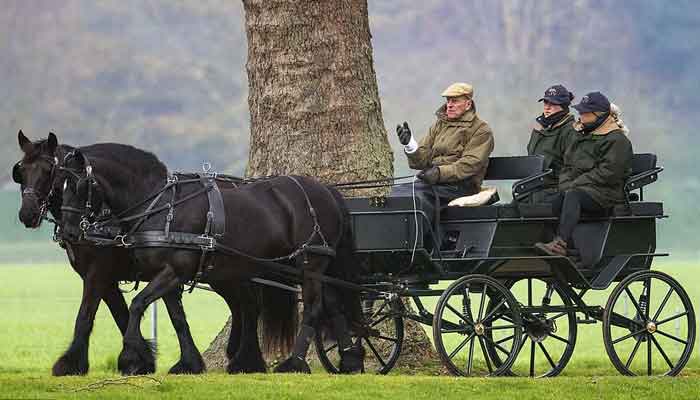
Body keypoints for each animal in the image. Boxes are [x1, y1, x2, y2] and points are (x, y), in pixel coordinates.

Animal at [48, 136, 364, 374]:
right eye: (57, 187)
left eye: (78, 185)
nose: (70, 232)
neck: (160, 204)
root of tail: (325, 189)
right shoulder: (164, 274)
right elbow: (176, 316)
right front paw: (185, 363)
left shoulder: (174, 270)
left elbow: (137, 305)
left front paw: (130, 358)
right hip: (303, 266)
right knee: (333, 303)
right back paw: (350, 360)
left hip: (309, 262)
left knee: (312, 306)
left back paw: (294, 363)